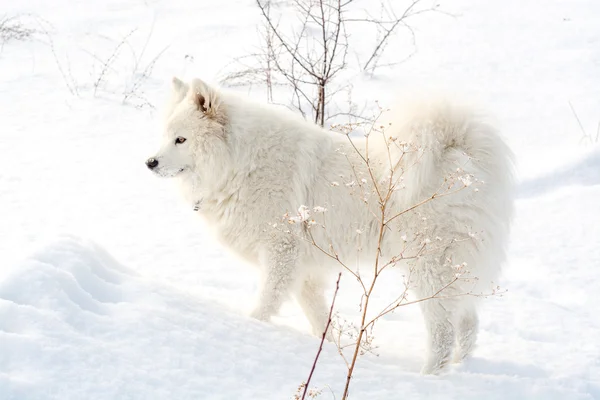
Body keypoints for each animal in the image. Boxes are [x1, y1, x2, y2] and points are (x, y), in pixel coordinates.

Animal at [146, 77, 516, 376]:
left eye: (181, 140)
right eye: (164, 137)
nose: (150, 162)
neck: (241, 162)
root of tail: (463, 154)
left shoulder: (280, 252)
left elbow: (266, 302)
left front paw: (252, 327)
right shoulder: (305, 270)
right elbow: (318, 315)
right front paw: (326, 345)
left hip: (429, 269)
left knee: (443, 332)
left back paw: (428, 377)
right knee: (468, 324)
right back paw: (461, 370)